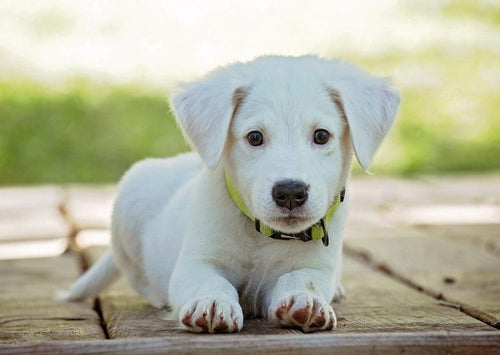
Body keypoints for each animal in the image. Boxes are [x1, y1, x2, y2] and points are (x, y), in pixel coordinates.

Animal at [64, 55, 400, 334]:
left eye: (321, 135)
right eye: (254, 137)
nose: (290, 192)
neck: (261, 235)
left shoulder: (316, 266)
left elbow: (301, 278)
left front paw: (304, 300)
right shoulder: (196, 262)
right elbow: (209, 281)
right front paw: (212, 303)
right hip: (130, 201)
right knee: (138, 276)